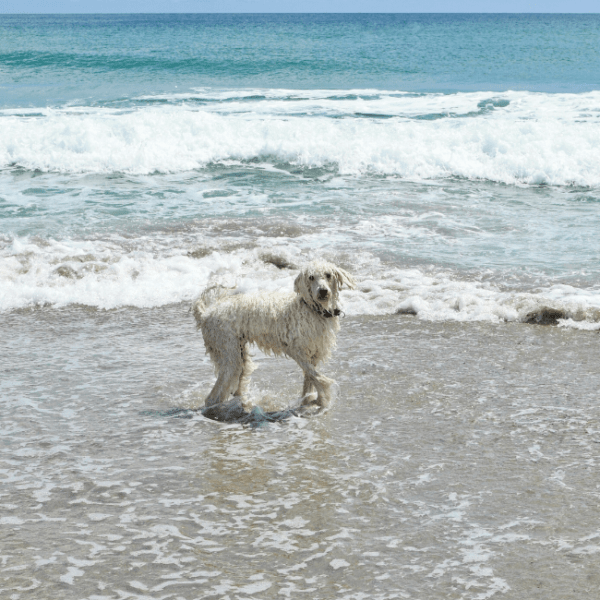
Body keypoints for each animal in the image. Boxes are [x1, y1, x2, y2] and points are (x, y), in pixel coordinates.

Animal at [192, 260, 354, 410]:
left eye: (328, 275)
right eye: (311, 277)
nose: (323, 291)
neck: (311, 309)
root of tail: (205, 314)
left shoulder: (313, 352)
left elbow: (310, 378)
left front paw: (309, 399)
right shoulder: (296, 350)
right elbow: (315, 375)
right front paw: (324, 397)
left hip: (239, 352)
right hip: (228, 353)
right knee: (213, 397)